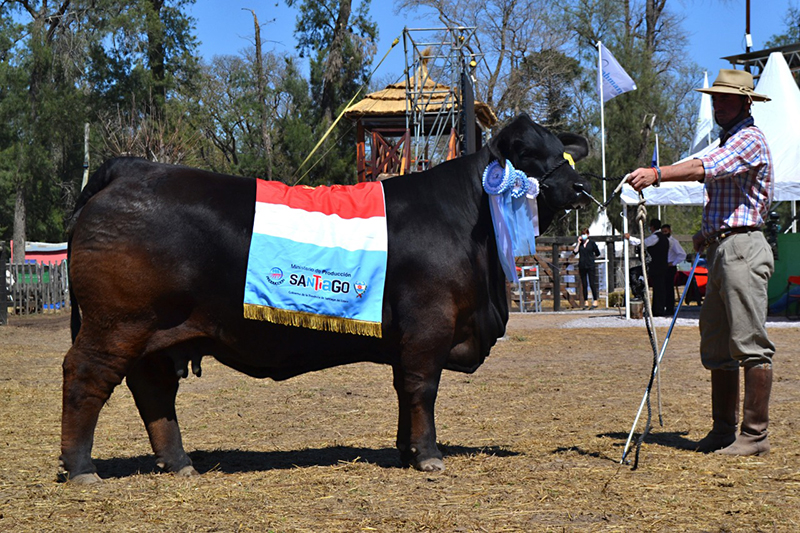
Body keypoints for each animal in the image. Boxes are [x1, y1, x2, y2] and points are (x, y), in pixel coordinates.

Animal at [59, 113, 592, 482]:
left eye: (564, 155)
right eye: (524, 152)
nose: (578, 186)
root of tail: (131, 168)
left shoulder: (407, 340)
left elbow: (404, 390)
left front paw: (406, 451)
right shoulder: (429, 326)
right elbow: (422, 389)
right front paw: (429, 457)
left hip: (155, 334)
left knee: (154, 393)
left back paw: (179, 463)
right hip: (117, 324)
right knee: (85, 378)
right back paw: (82, 468)